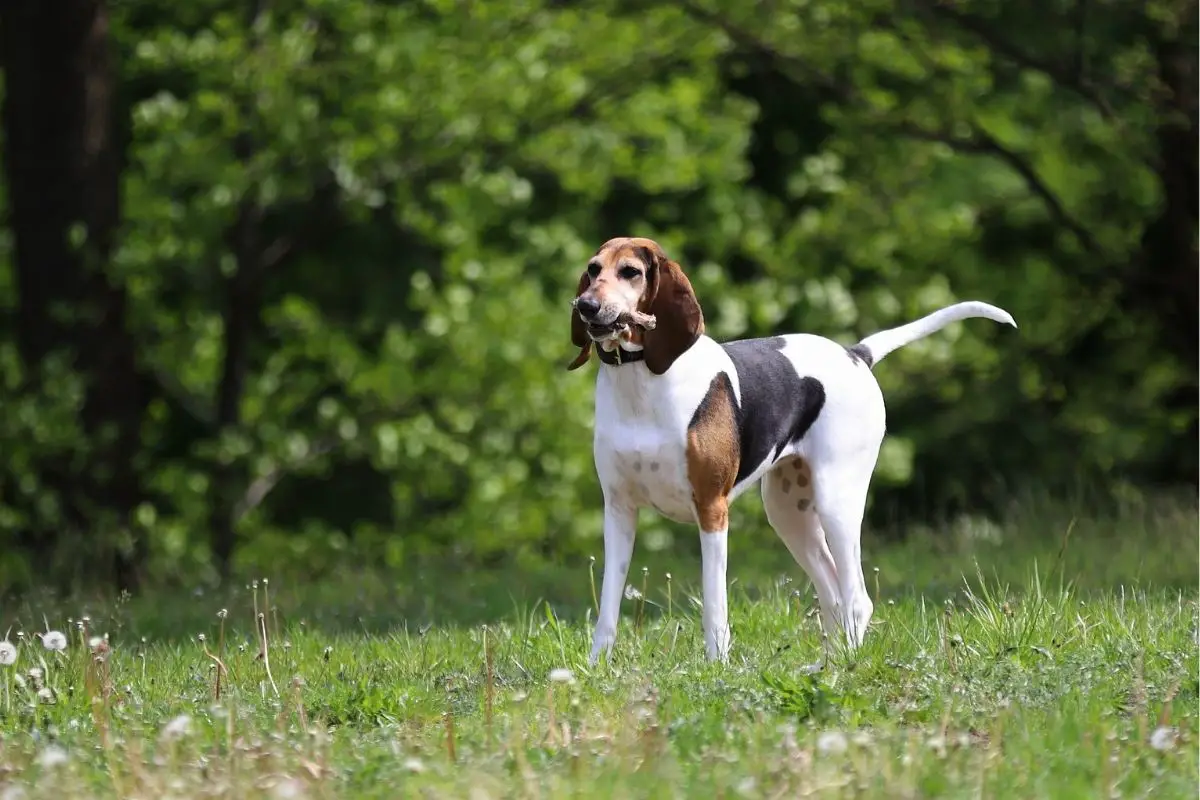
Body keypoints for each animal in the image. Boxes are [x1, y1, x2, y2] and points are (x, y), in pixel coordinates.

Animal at [566, 236, 1017, 662]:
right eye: (593, 269)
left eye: (631, 272)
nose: (587, 306)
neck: (642, 382)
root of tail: (855, 354)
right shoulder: (619, 511)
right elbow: (608, 607)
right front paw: (596, 666)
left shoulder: (712, 511)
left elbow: (714, 606)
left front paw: (716, 666)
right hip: (789, 514)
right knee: (834, 595)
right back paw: (827, 665)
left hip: (837, 504)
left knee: (857, 599)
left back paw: (846, 663)